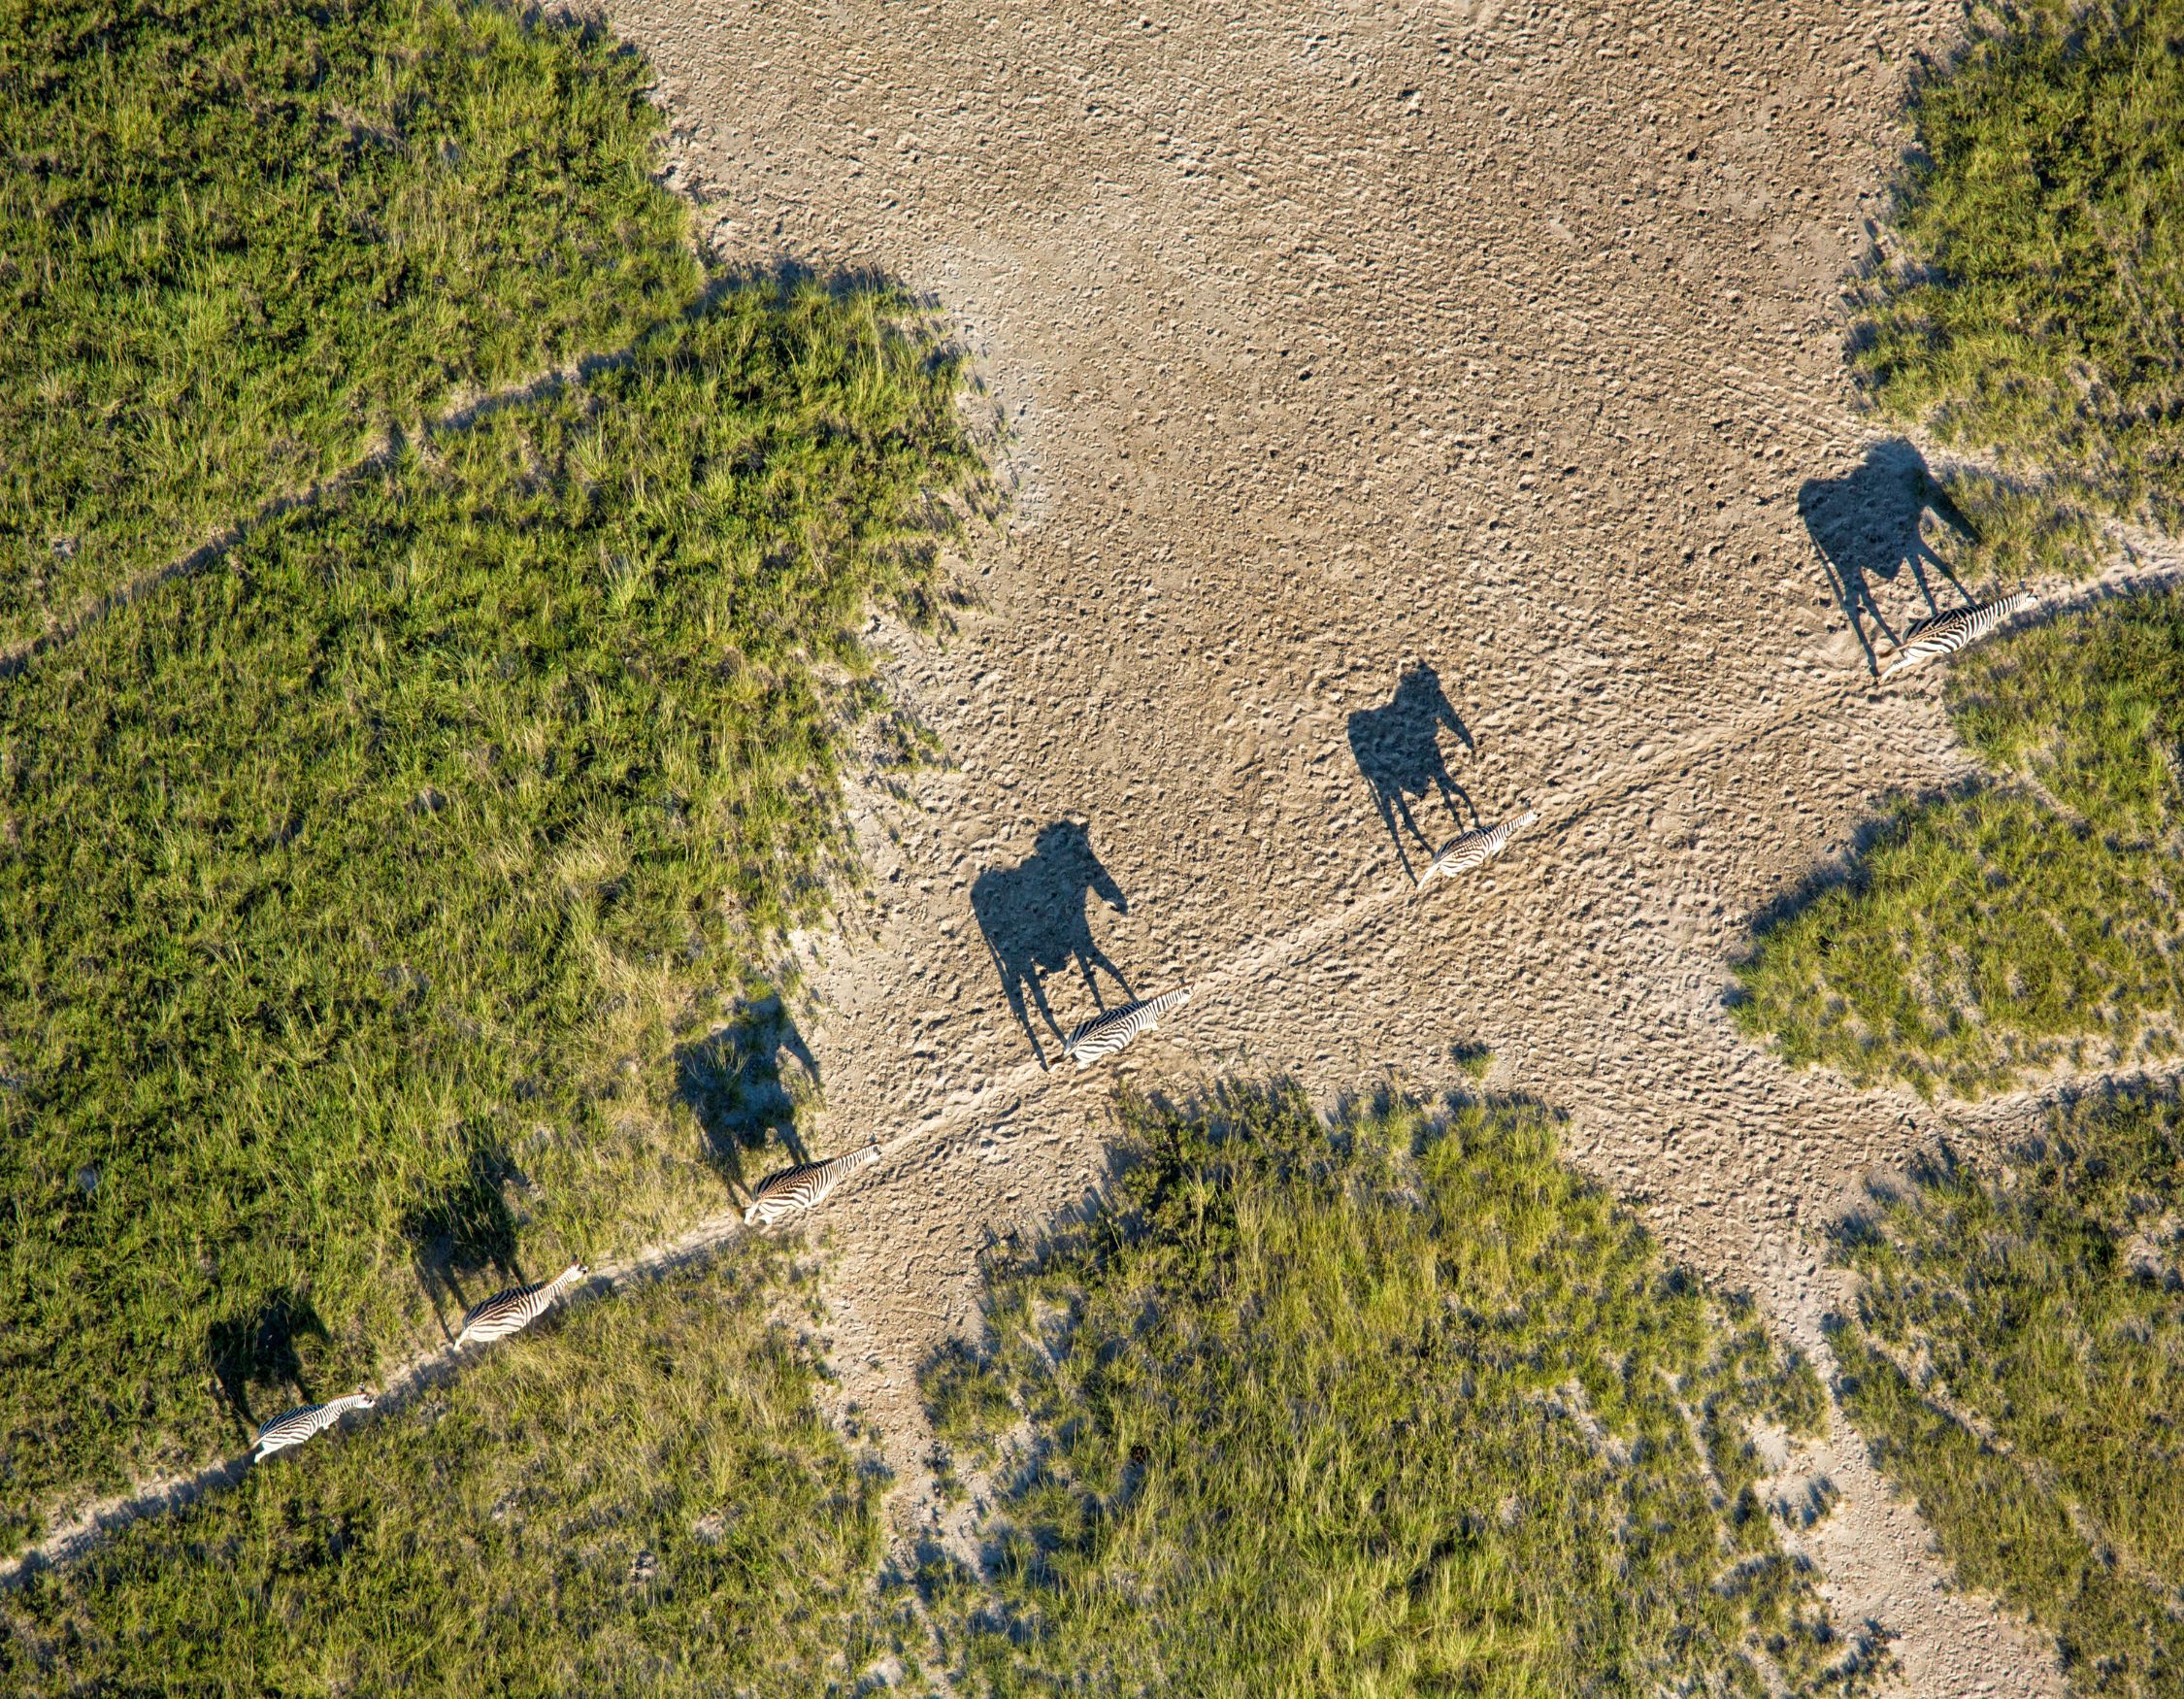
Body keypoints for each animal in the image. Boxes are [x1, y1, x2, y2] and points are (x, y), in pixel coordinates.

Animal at [454, 1263, 590, 1349]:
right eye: (582, 1270)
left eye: (583, 1264)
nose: (588, 1268)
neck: (545, 1289)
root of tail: (469, 1325)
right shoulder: (538, 1310)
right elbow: (542, 1318)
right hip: (493, 1334)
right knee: (500, 1343)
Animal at [744, 1144, 881, 1227]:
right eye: (880, 1156)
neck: (839, 1167)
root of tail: (762, 1196)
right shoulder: (825, 1190)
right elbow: (817, 1201)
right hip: (779, 1209)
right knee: (764, 1216)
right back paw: (768, 1224)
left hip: (758, 1192)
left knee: (751, 1212)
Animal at [1061, 987, 1191, 1069]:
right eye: (1190, 997)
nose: (1189, 1006)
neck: (1151, 1007)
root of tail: (1076, 1044)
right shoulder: (1150, 1022)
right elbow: (1156, 1028)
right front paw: (1159, 1034)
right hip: (1093, 1055)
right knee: (1081, 1064)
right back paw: (1087, 1066)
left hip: (1070, 1041)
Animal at [1879, 589, 2041, 680]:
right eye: (2032, 601)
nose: (2039, 599)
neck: (1991, 610)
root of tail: (1912, 640)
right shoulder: (1983, 629)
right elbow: (1978, 637)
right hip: (1917, 656)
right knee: (1898, 664)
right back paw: (1882, 678)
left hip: (1909, 641)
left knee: (1901, 656)